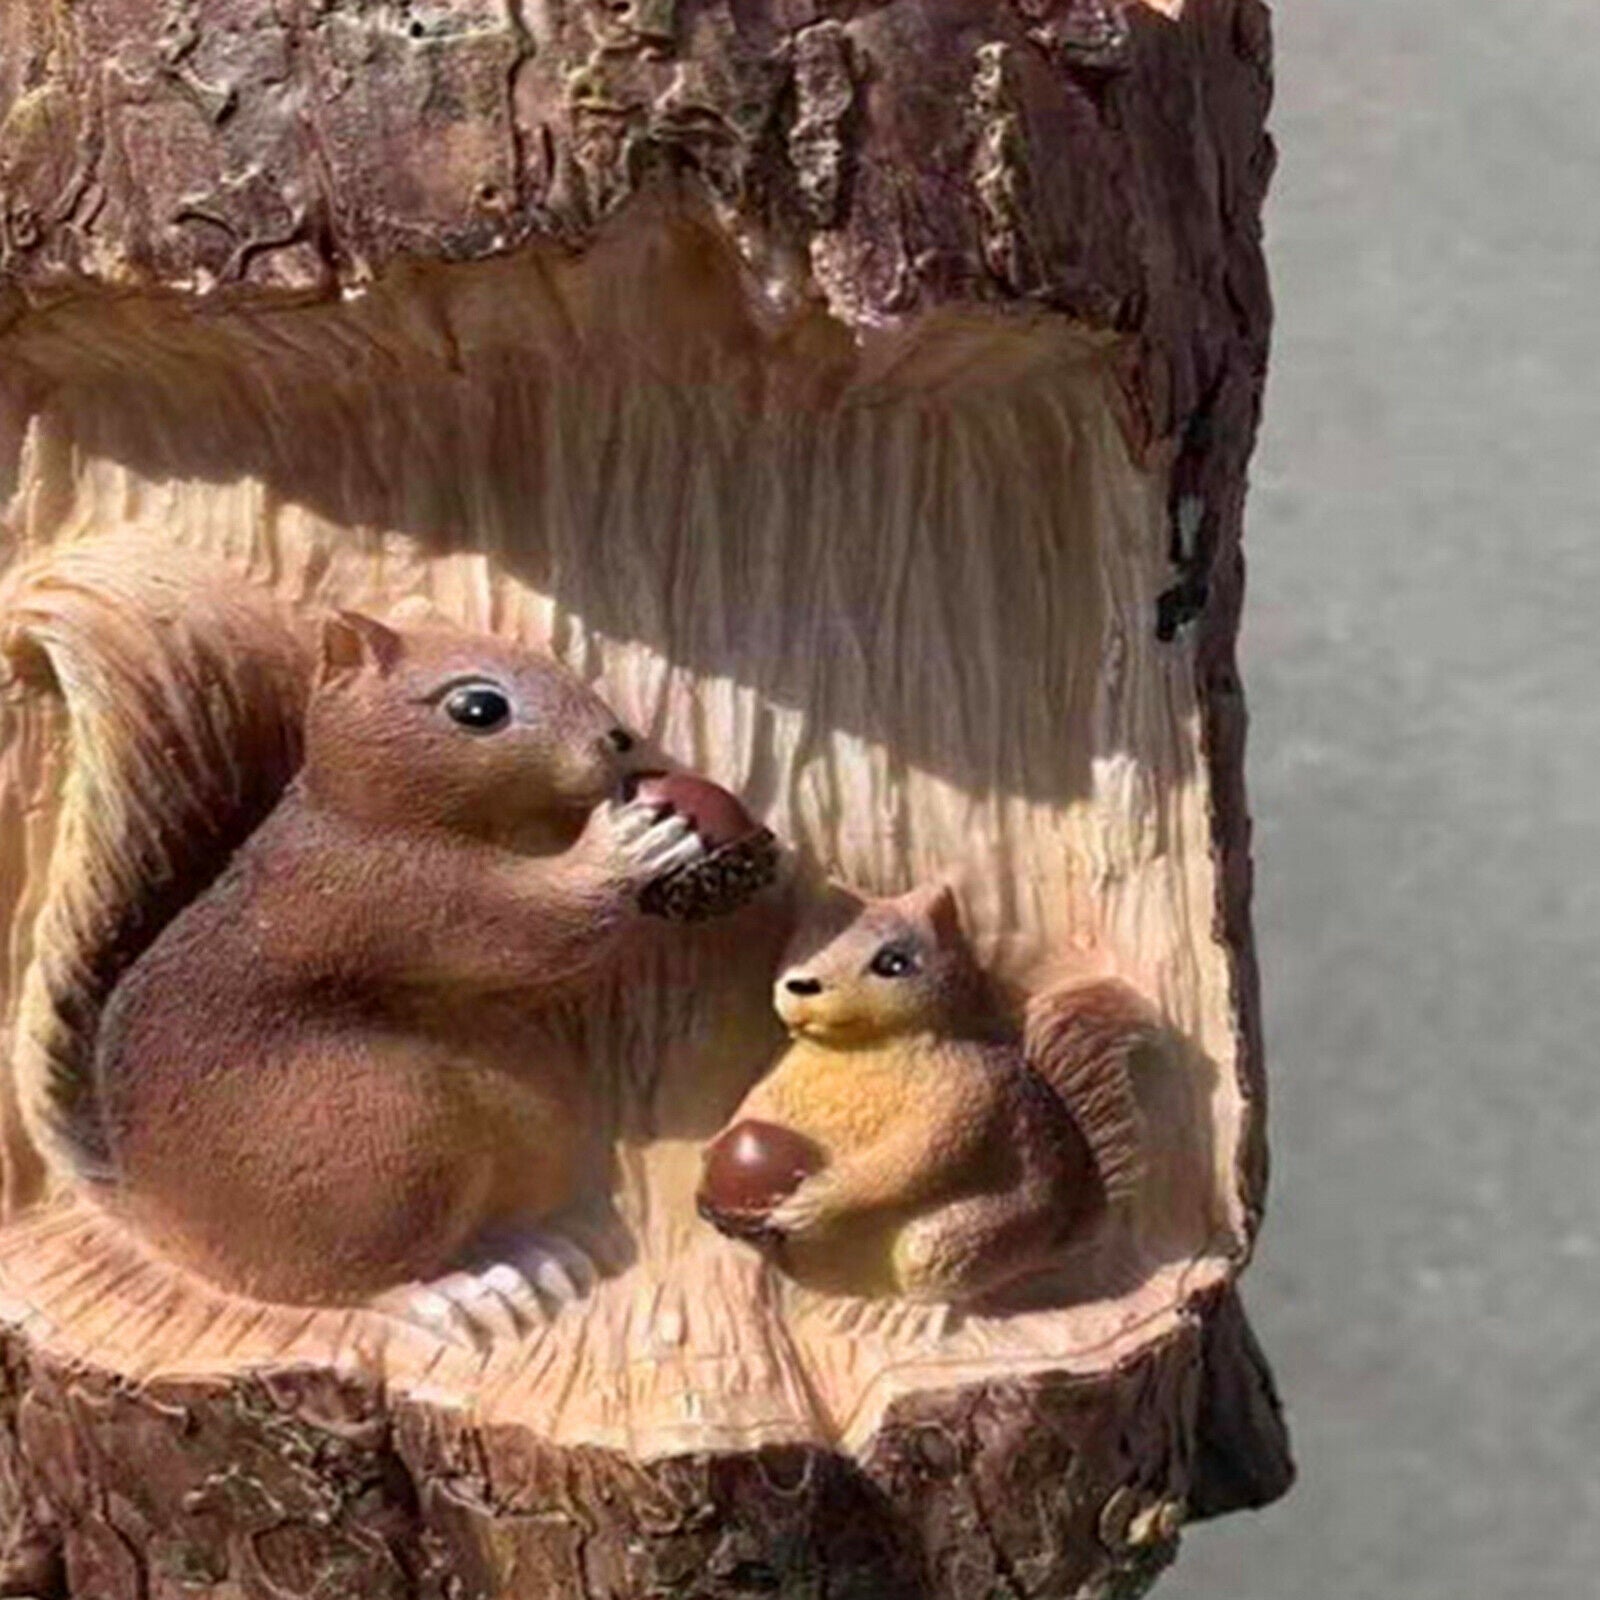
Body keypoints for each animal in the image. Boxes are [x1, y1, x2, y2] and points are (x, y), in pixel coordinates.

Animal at [0, 535, 756, 1326]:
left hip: (534, 1116)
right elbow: (532, 929)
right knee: (352, 1285)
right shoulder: (388, 893)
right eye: (478, 707)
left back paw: (542, 1251)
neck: (366, 809)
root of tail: (176, 1229)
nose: (618, 740)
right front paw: (630, 841)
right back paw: (456, 1294)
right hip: (389, 1144)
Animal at [696, 881, 1156, 1304]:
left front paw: (814, 1202)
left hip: (954, 1241)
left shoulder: (967, 1092)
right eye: (803, 943)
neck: (855, 1047)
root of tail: (1055, 1243)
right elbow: (752, 1105)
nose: (803, 986)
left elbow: (913, 1158)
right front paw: (710, 1165)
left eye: (894, 963)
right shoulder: (780, 1076)